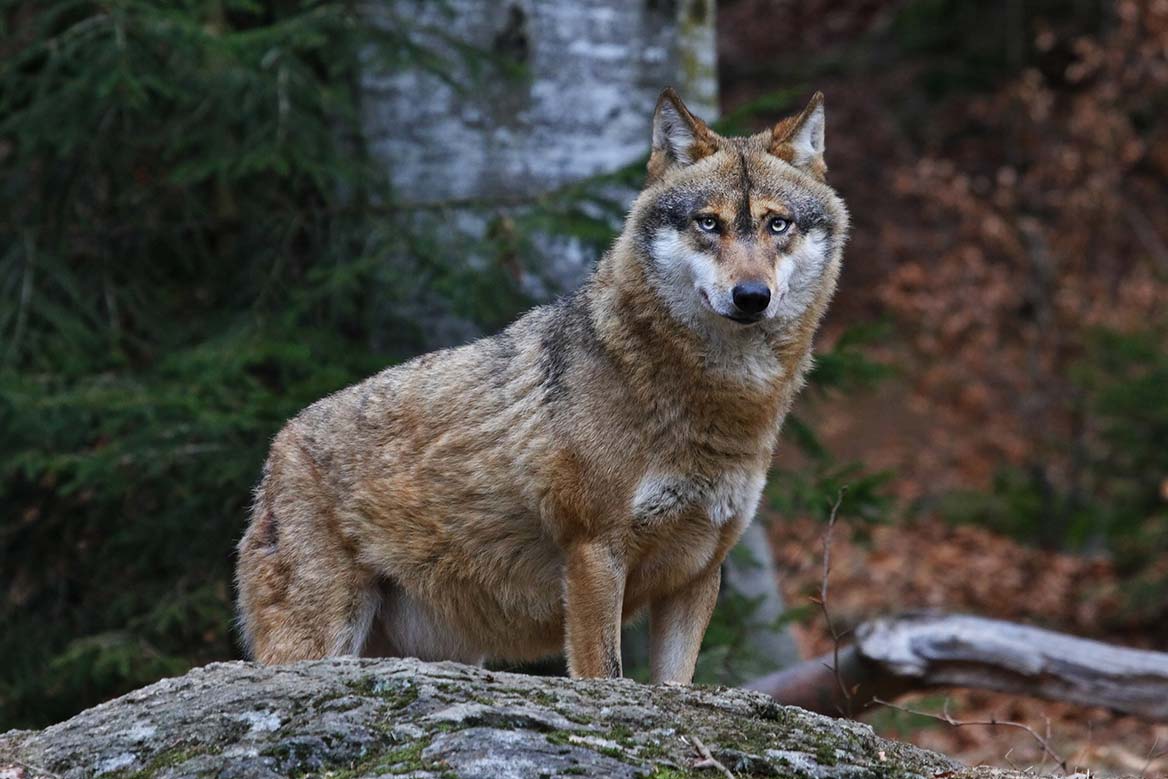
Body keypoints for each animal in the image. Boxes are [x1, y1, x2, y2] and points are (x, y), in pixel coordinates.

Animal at [234, 87, 850, 682]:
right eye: (708, 223)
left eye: (777, 224)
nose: (751, 296)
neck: (720, 404)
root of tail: (279, 444)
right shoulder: (594, 553)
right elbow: (604, 675)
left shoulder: (698, 573)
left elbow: (675, 686)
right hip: (320, 640)